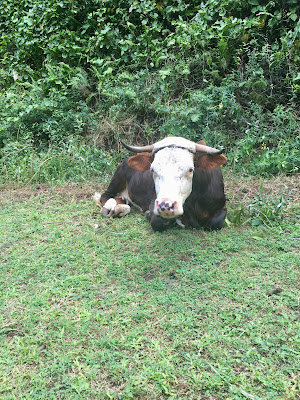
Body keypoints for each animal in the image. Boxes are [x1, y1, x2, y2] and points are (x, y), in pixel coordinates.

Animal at [92, 137, 226, 233]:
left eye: (190, 169)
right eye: (152, 169)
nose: (165, 206)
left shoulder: (222, 206)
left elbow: (216, 223)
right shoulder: (154, 203)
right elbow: (157, 223)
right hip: (117, 178)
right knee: (105, 196)